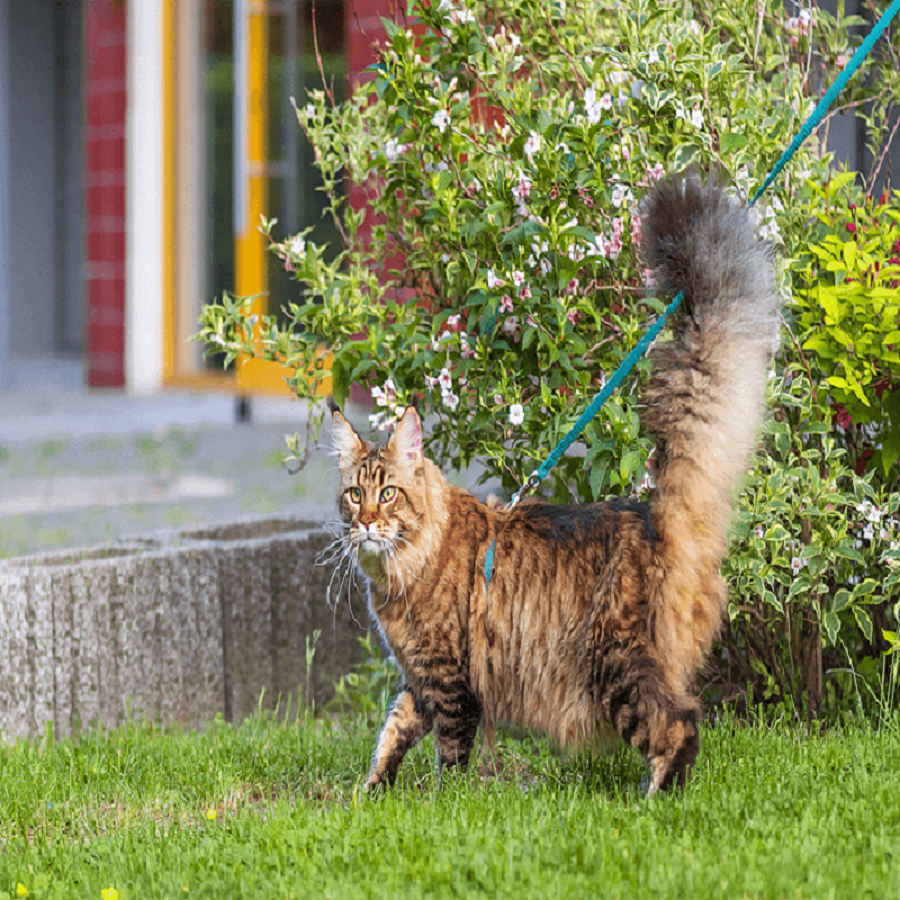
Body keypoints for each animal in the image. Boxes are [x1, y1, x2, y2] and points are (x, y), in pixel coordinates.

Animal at [326, 172, 776, 792]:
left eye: (388, 493)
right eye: (355, 495)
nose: (367, 522)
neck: (400, 573)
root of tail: (654, 515)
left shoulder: (450, 679)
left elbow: (449, 754)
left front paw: (441, 801)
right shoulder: (416, 678)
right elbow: (391, 734)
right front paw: (370, 794)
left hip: (615, 664)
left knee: (680, 723)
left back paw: (655, 798)